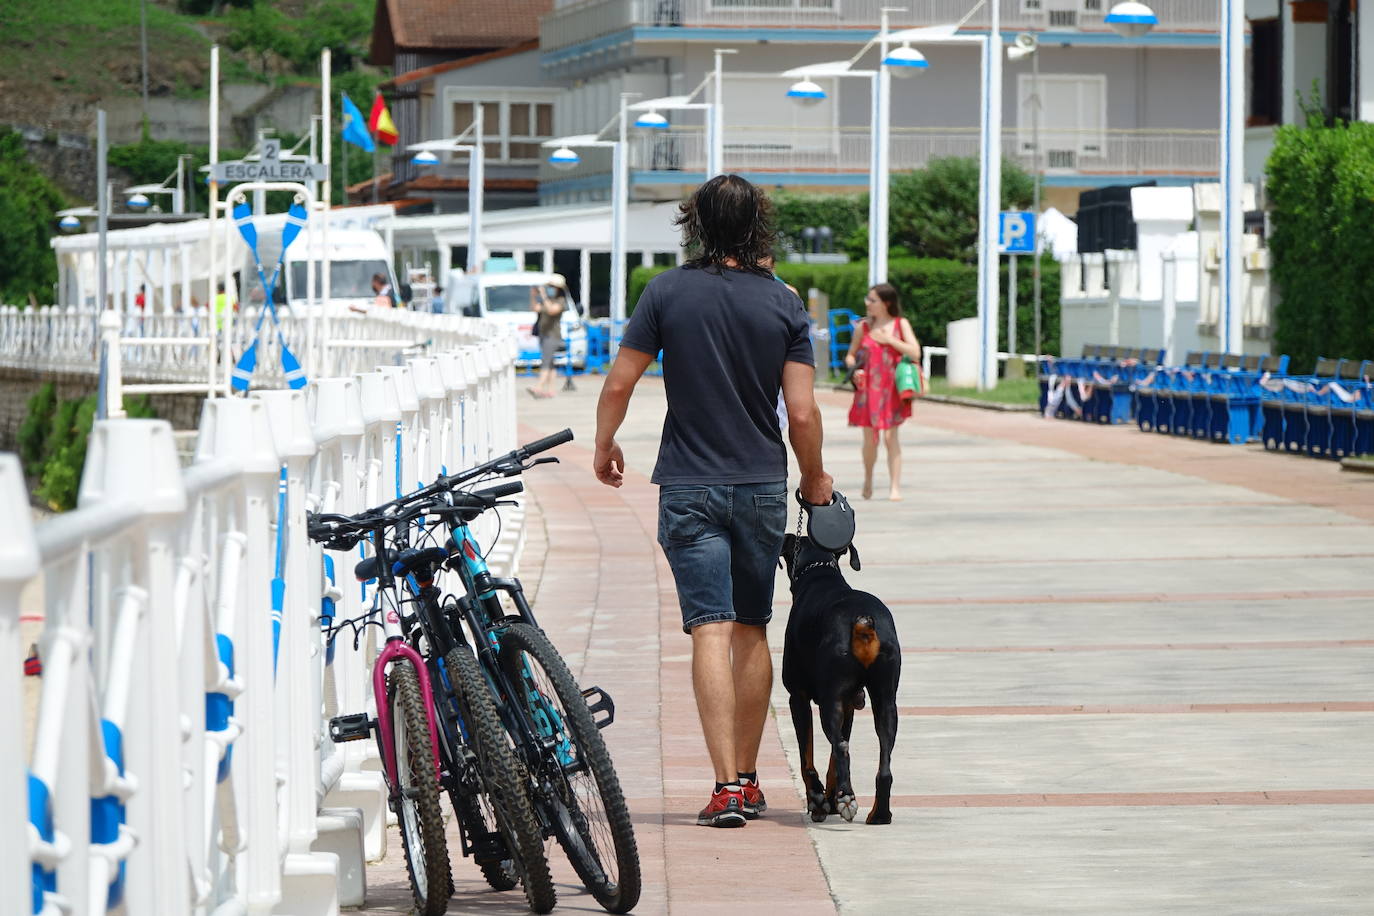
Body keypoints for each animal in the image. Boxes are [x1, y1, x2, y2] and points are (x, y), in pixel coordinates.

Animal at [785, 530, 901, 823]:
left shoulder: (798, 697)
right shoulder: (849, 702)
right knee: (882, 759)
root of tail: (862, 622)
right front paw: (830, 799)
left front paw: (818, 801)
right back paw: (878, 813)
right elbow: (831, 764)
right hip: (885, 700)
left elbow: (807, 758)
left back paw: (845, 797)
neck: (820, 574)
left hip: (830, 701)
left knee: (841, 747)